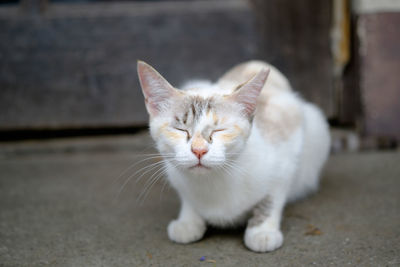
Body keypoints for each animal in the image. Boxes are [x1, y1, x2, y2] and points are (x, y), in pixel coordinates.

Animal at [136, 60, 330, 253]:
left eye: (219, 130)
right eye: (180, 129)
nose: (199, 150)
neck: (211, 182)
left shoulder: (286, 153)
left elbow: (271, 198)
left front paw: (262, 231)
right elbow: (187, 198)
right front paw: (188, 220)